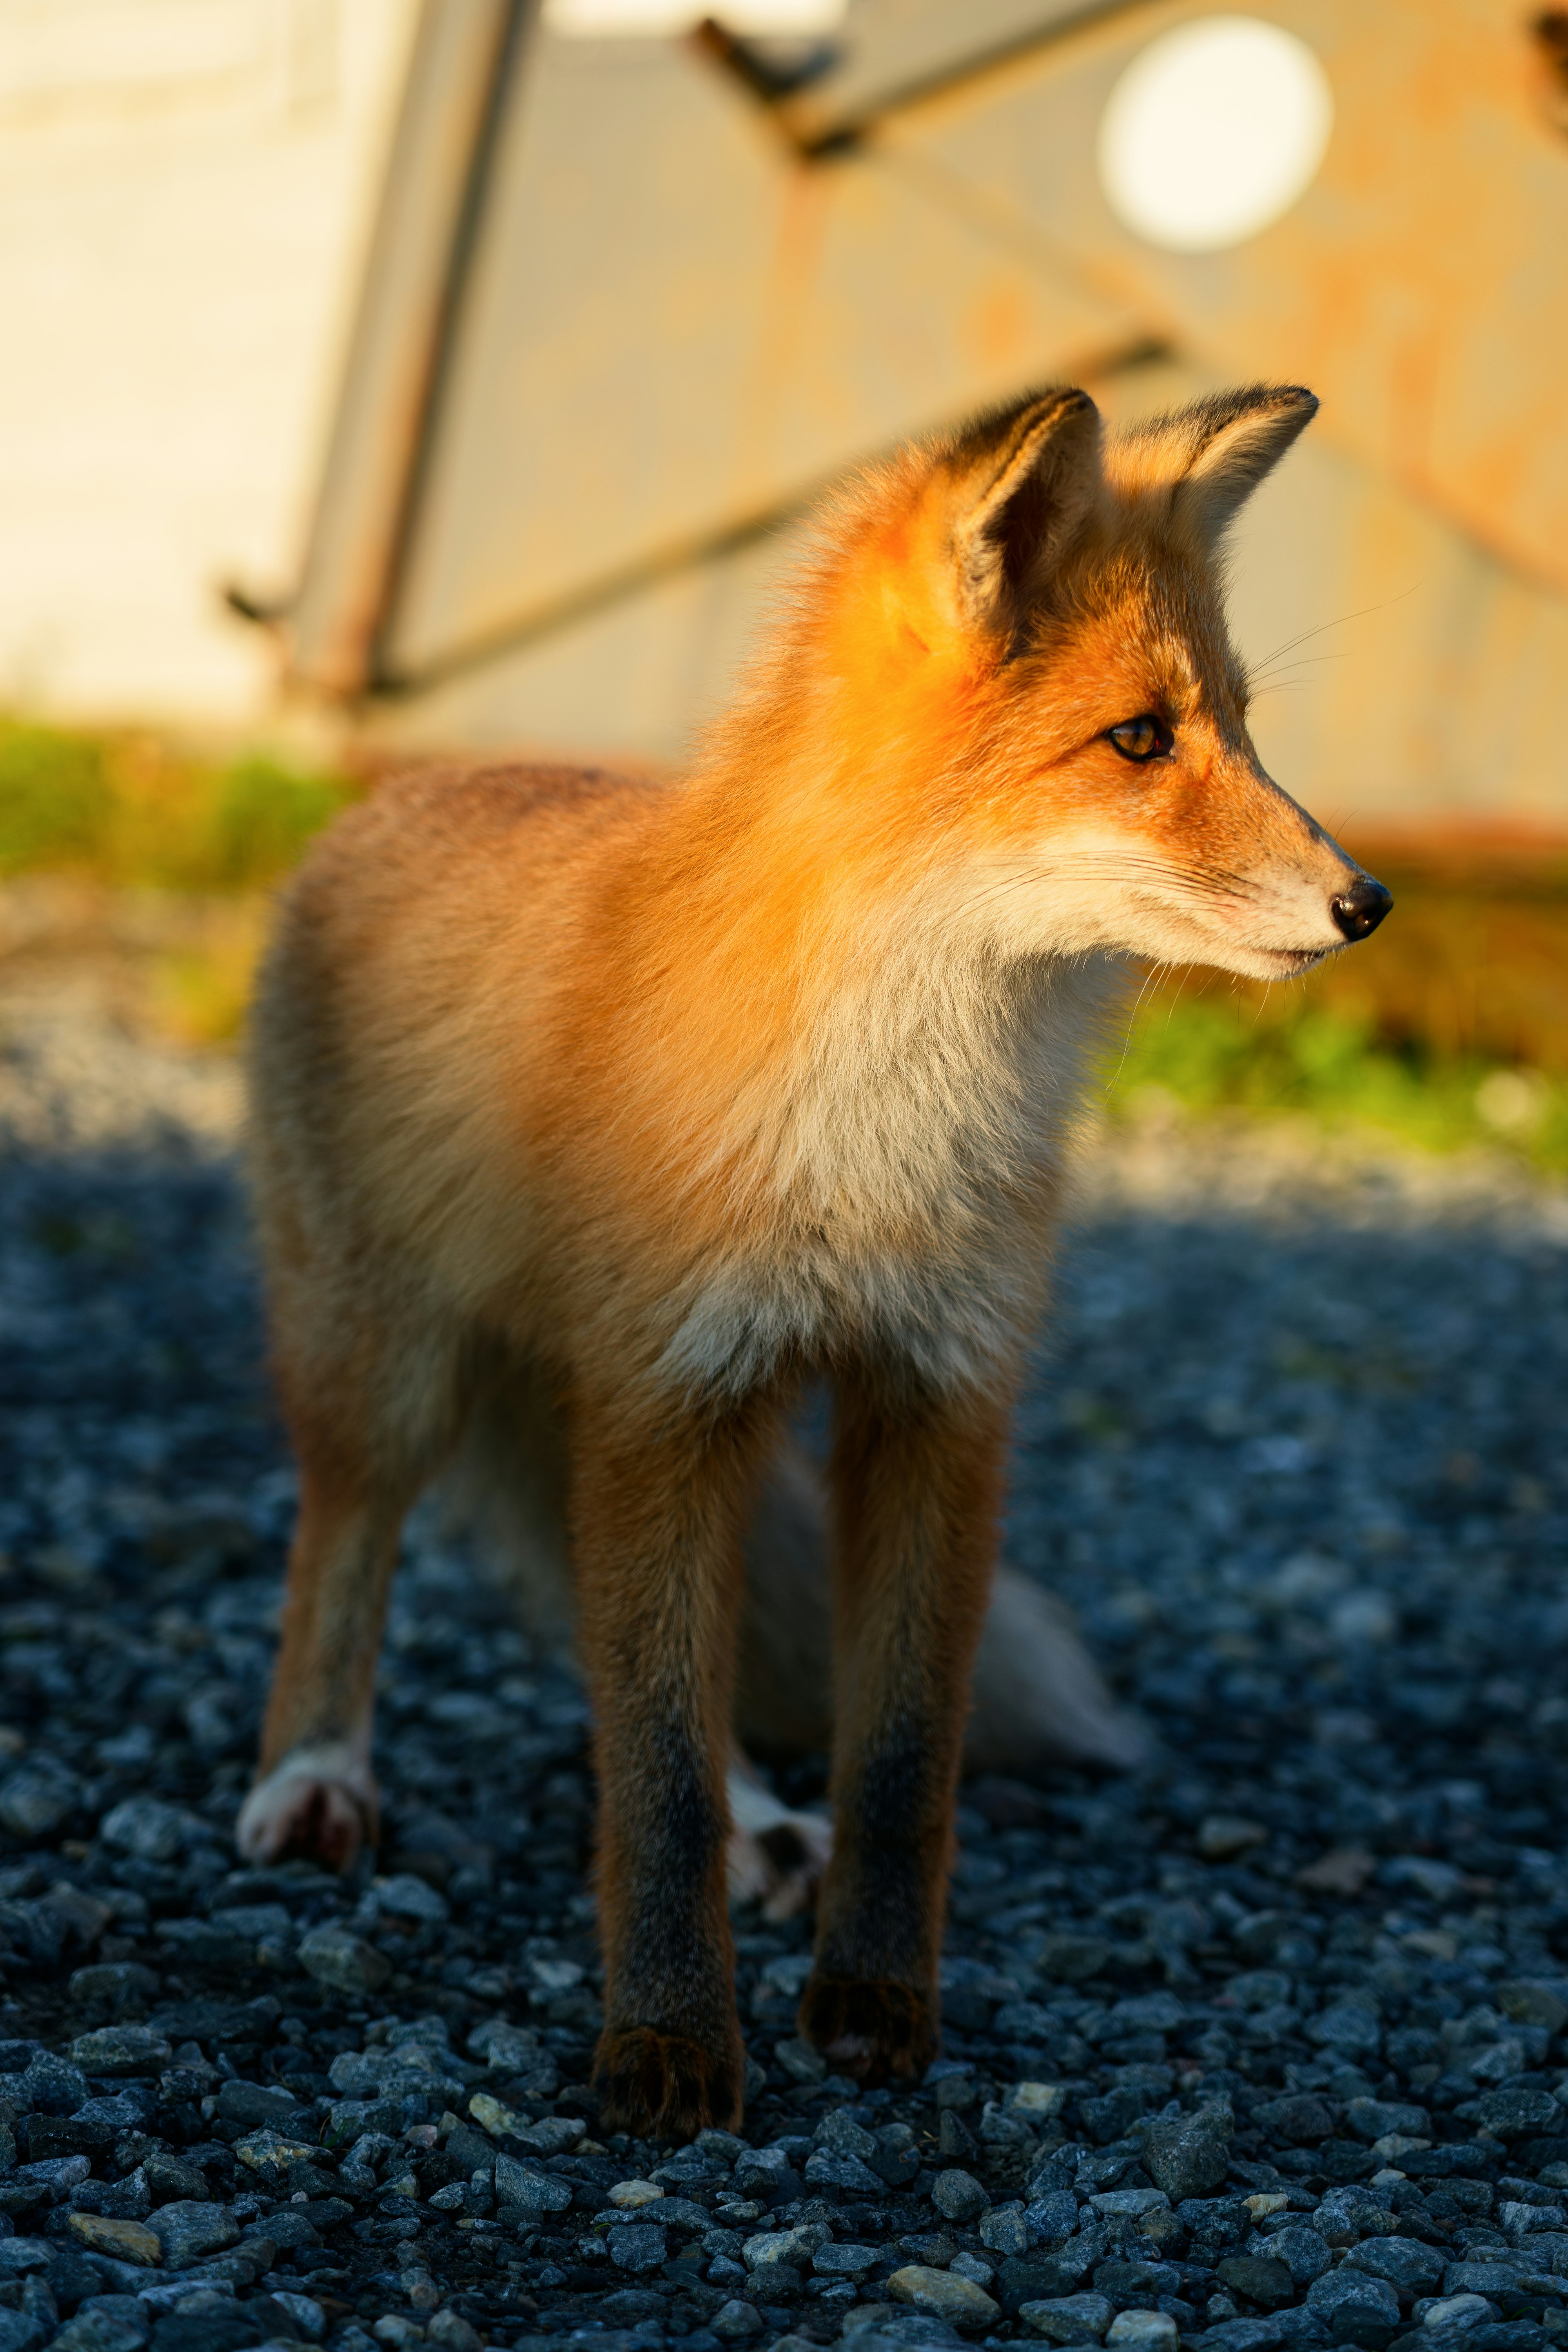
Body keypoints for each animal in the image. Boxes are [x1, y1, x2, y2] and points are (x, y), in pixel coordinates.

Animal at [236, 382, 1390, 2142]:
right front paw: (665, 2047)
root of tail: (389, 794)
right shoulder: (667, 1394)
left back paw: (768, 1823)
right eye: (1140, 740)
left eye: (1245, 728)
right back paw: (311, 1777)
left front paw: (872, 2013)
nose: (1369, 899)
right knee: (351, 1550)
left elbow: (898, 1762)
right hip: (392, 1369)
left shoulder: (937, 1402)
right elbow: (648, 1780)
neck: (878, 1136)